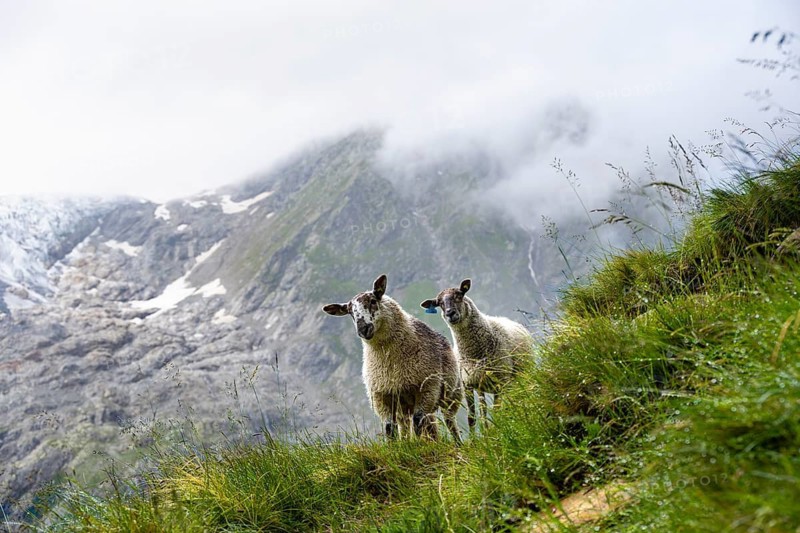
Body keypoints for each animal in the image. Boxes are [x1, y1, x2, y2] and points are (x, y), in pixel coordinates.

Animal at [323, 274, 463, 443]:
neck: (390, 361)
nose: (363, 329)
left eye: (373, 301)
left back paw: (456, 443)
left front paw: (423, 445)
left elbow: (418, 421)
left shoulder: (427, 388)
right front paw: (397, 445)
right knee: (415, 425)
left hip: (450, 394)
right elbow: (390, 428)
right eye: (350, 312)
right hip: (404, 406)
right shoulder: (382, 397)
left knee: (449, 421)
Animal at [421, 278, 532, 434]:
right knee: (484, 409)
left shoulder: (501, 381)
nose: (450, 313)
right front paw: (477, 437)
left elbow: (497, 412)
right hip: (484, 385)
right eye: (439, 303)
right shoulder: (468, 383)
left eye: (459, 295)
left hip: (519, 376)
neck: (473, 352)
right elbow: (472, 417)